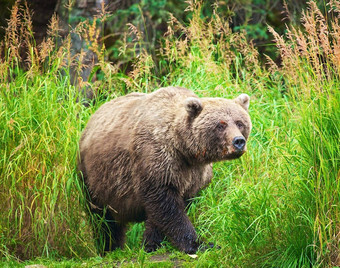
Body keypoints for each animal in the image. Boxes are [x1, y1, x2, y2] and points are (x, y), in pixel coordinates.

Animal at [78, 86, 251, 253]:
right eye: (220, 125)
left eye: (239, 123)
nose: (238, 141)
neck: (185, 150)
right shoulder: (157, 159)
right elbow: (167, 206)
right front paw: (198, 244)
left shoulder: (194, 173)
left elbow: (172, 206)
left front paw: (152, 242)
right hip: (97, 177)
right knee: (102, 218)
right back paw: (109, 247)